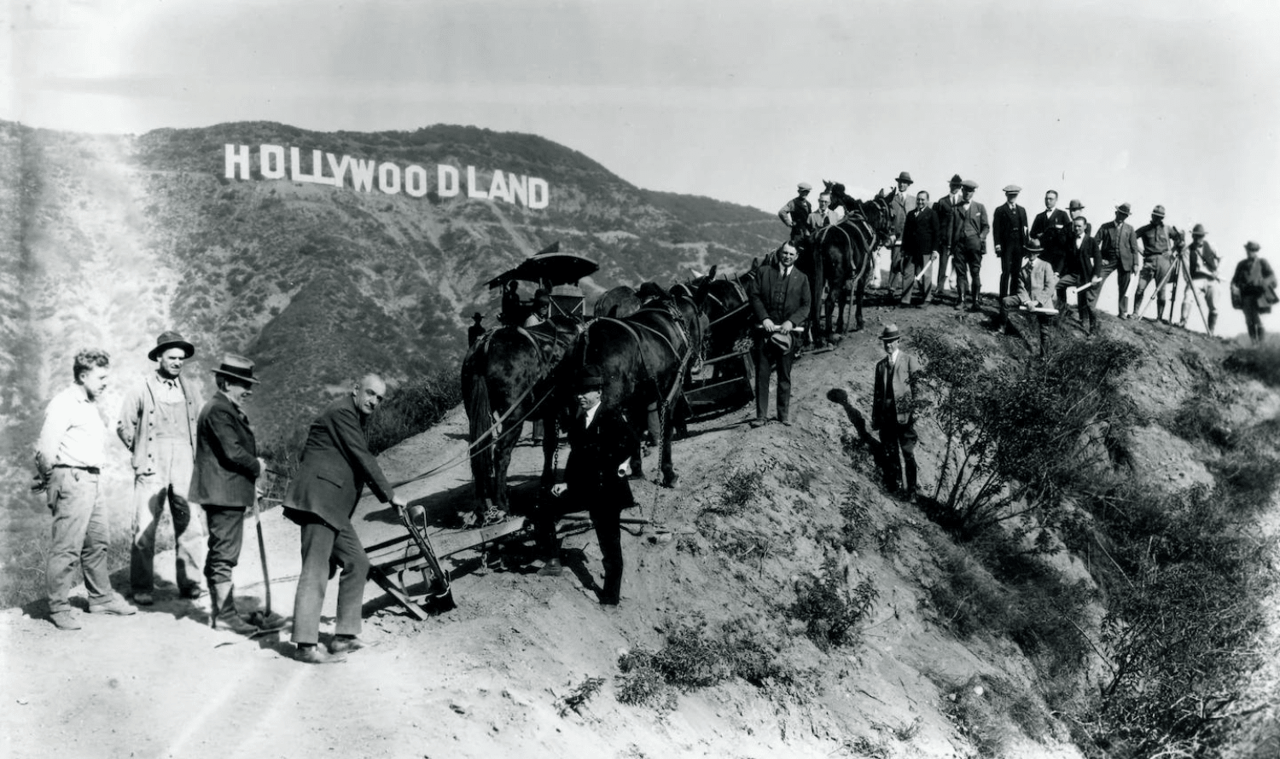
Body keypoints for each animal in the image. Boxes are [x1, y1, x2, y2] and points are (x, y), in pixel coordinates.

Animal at [460, 311, 581, 517]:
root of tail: (483, 347)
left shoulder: (550, 411)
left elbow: (549, 444)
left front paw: (546, 481)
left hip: (475, 413)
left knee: (480, 453)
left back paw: (483, 505)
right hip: (514, 417)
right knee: (501, 453)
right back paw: (501, 503)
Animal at [565, 293, 711, 481]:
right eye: (702, 317)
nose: (708, 338)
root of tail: (587, 335)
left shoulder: (639, 398)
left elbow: (635, 429)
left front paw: (636, 469)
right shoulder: (669, 390)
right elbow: (666, 428)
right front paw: (668, 472)